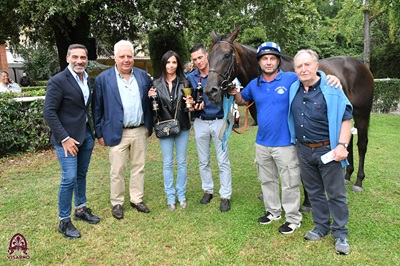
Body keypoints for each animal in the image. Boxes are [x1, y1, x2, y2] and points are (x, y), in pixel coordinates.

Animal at [205, 27, 376, 200]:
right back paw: (347, 175)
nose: (210, 91)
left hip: (362, 115)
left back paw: (358, 181)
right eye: (209, 56)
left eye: (227, 55)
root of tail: (361, 65)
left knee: (362, 144)